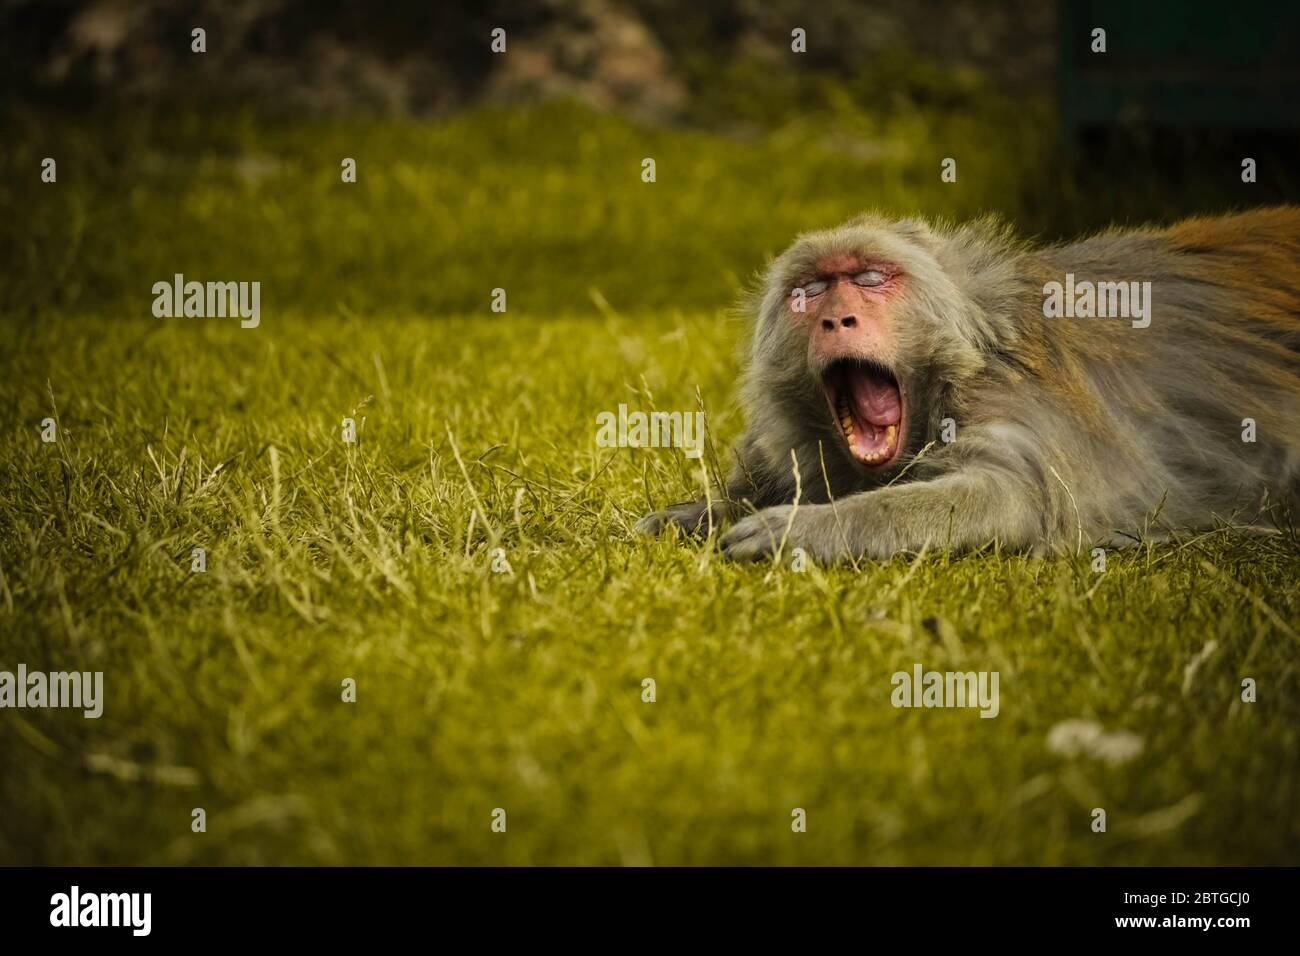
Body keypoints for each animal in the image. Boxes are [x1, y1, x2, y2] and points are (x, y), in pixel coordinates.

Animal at [638, 206, 1300, 562]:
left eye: (871, 278)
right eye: (813, 290)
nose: (835, 318)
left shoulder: (1009, 401)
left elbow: (1011, 498)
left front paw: (803, 529)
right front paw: (698, 513)